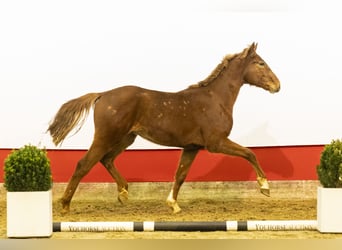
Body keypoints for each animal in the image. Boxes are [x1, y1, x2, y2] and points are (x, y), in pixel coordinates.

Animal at [48, 43, 280, 213]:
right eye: (260, 63)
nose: (277, 85)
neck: (215, 99)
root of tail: (102, 94)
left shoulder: (192, 147)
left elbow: (181, 175)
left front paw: (173, 205)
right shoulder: (216, 143)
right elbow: (250, 153)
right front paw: (265, 187)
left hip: (126, 138)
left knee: (106, 159)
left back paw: (123, 193)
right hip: (106, 137)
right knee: (84, 164)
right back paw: (65, 205)